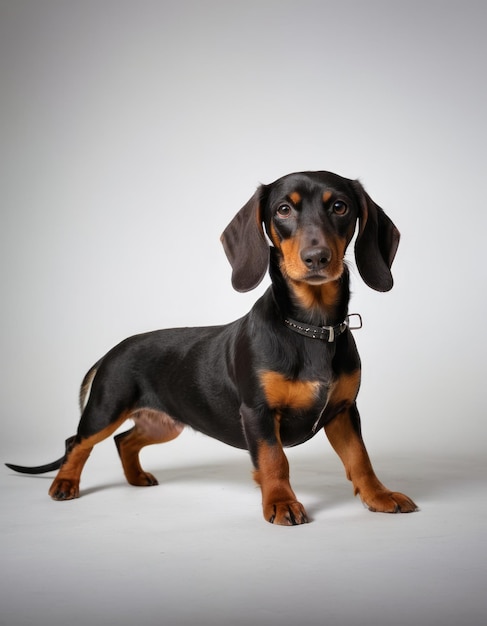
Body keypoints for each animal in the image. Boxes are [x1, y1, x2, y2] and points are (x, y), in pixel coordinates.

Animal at [5, 169, 418, 520]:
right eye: (283, 209)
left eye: (340, 207)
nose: (317, 258)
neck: (309, 329)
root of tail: (112, 351)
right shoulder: (258, 413)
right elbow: (274, 460)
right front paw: (281, 503)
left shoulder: (344, 412)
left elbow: (360, 459)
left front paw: (380, 496)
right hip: (106, 408)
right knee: (76, 441)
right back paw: (65, 483)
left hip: (164, 423)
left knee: (124, 441)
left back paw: (136, 478)